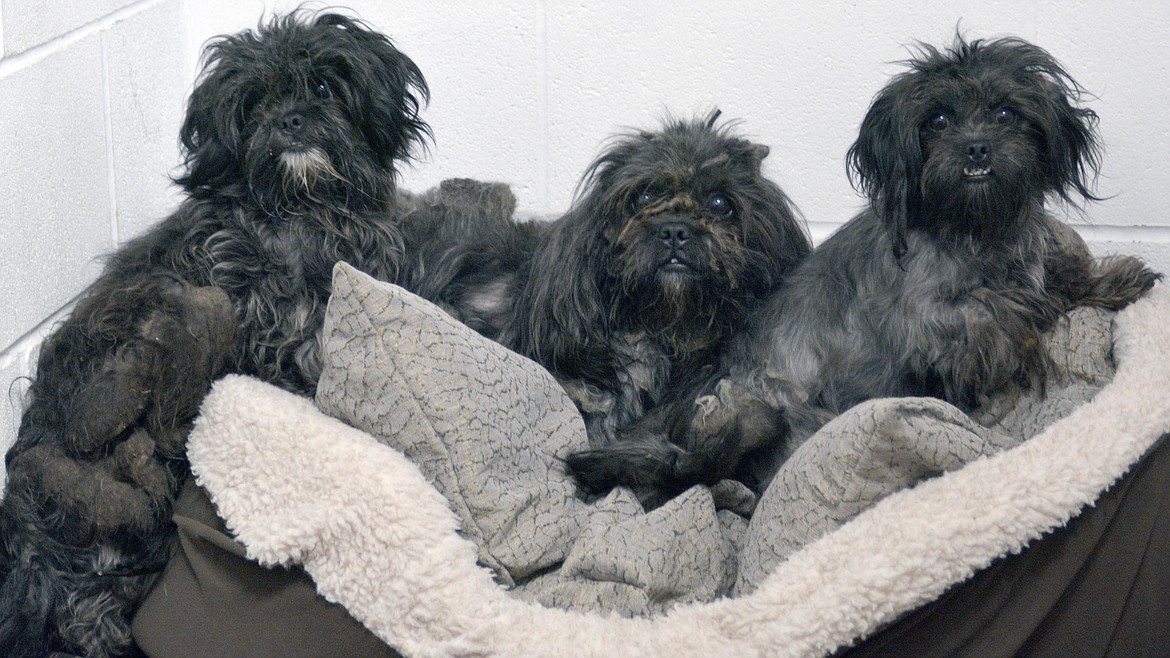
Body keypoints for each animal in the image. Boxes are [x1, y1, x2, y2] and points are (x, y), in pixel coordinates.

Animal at [566, 33, 1160, 503]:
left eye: (1006, 113)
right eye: (937, 120)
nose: (976, 148)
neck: (976, 229)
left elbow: (1059, 272)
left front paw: (1115, 279)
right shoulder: (934, 323)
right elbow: (1006, 316)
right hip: (793, 412)